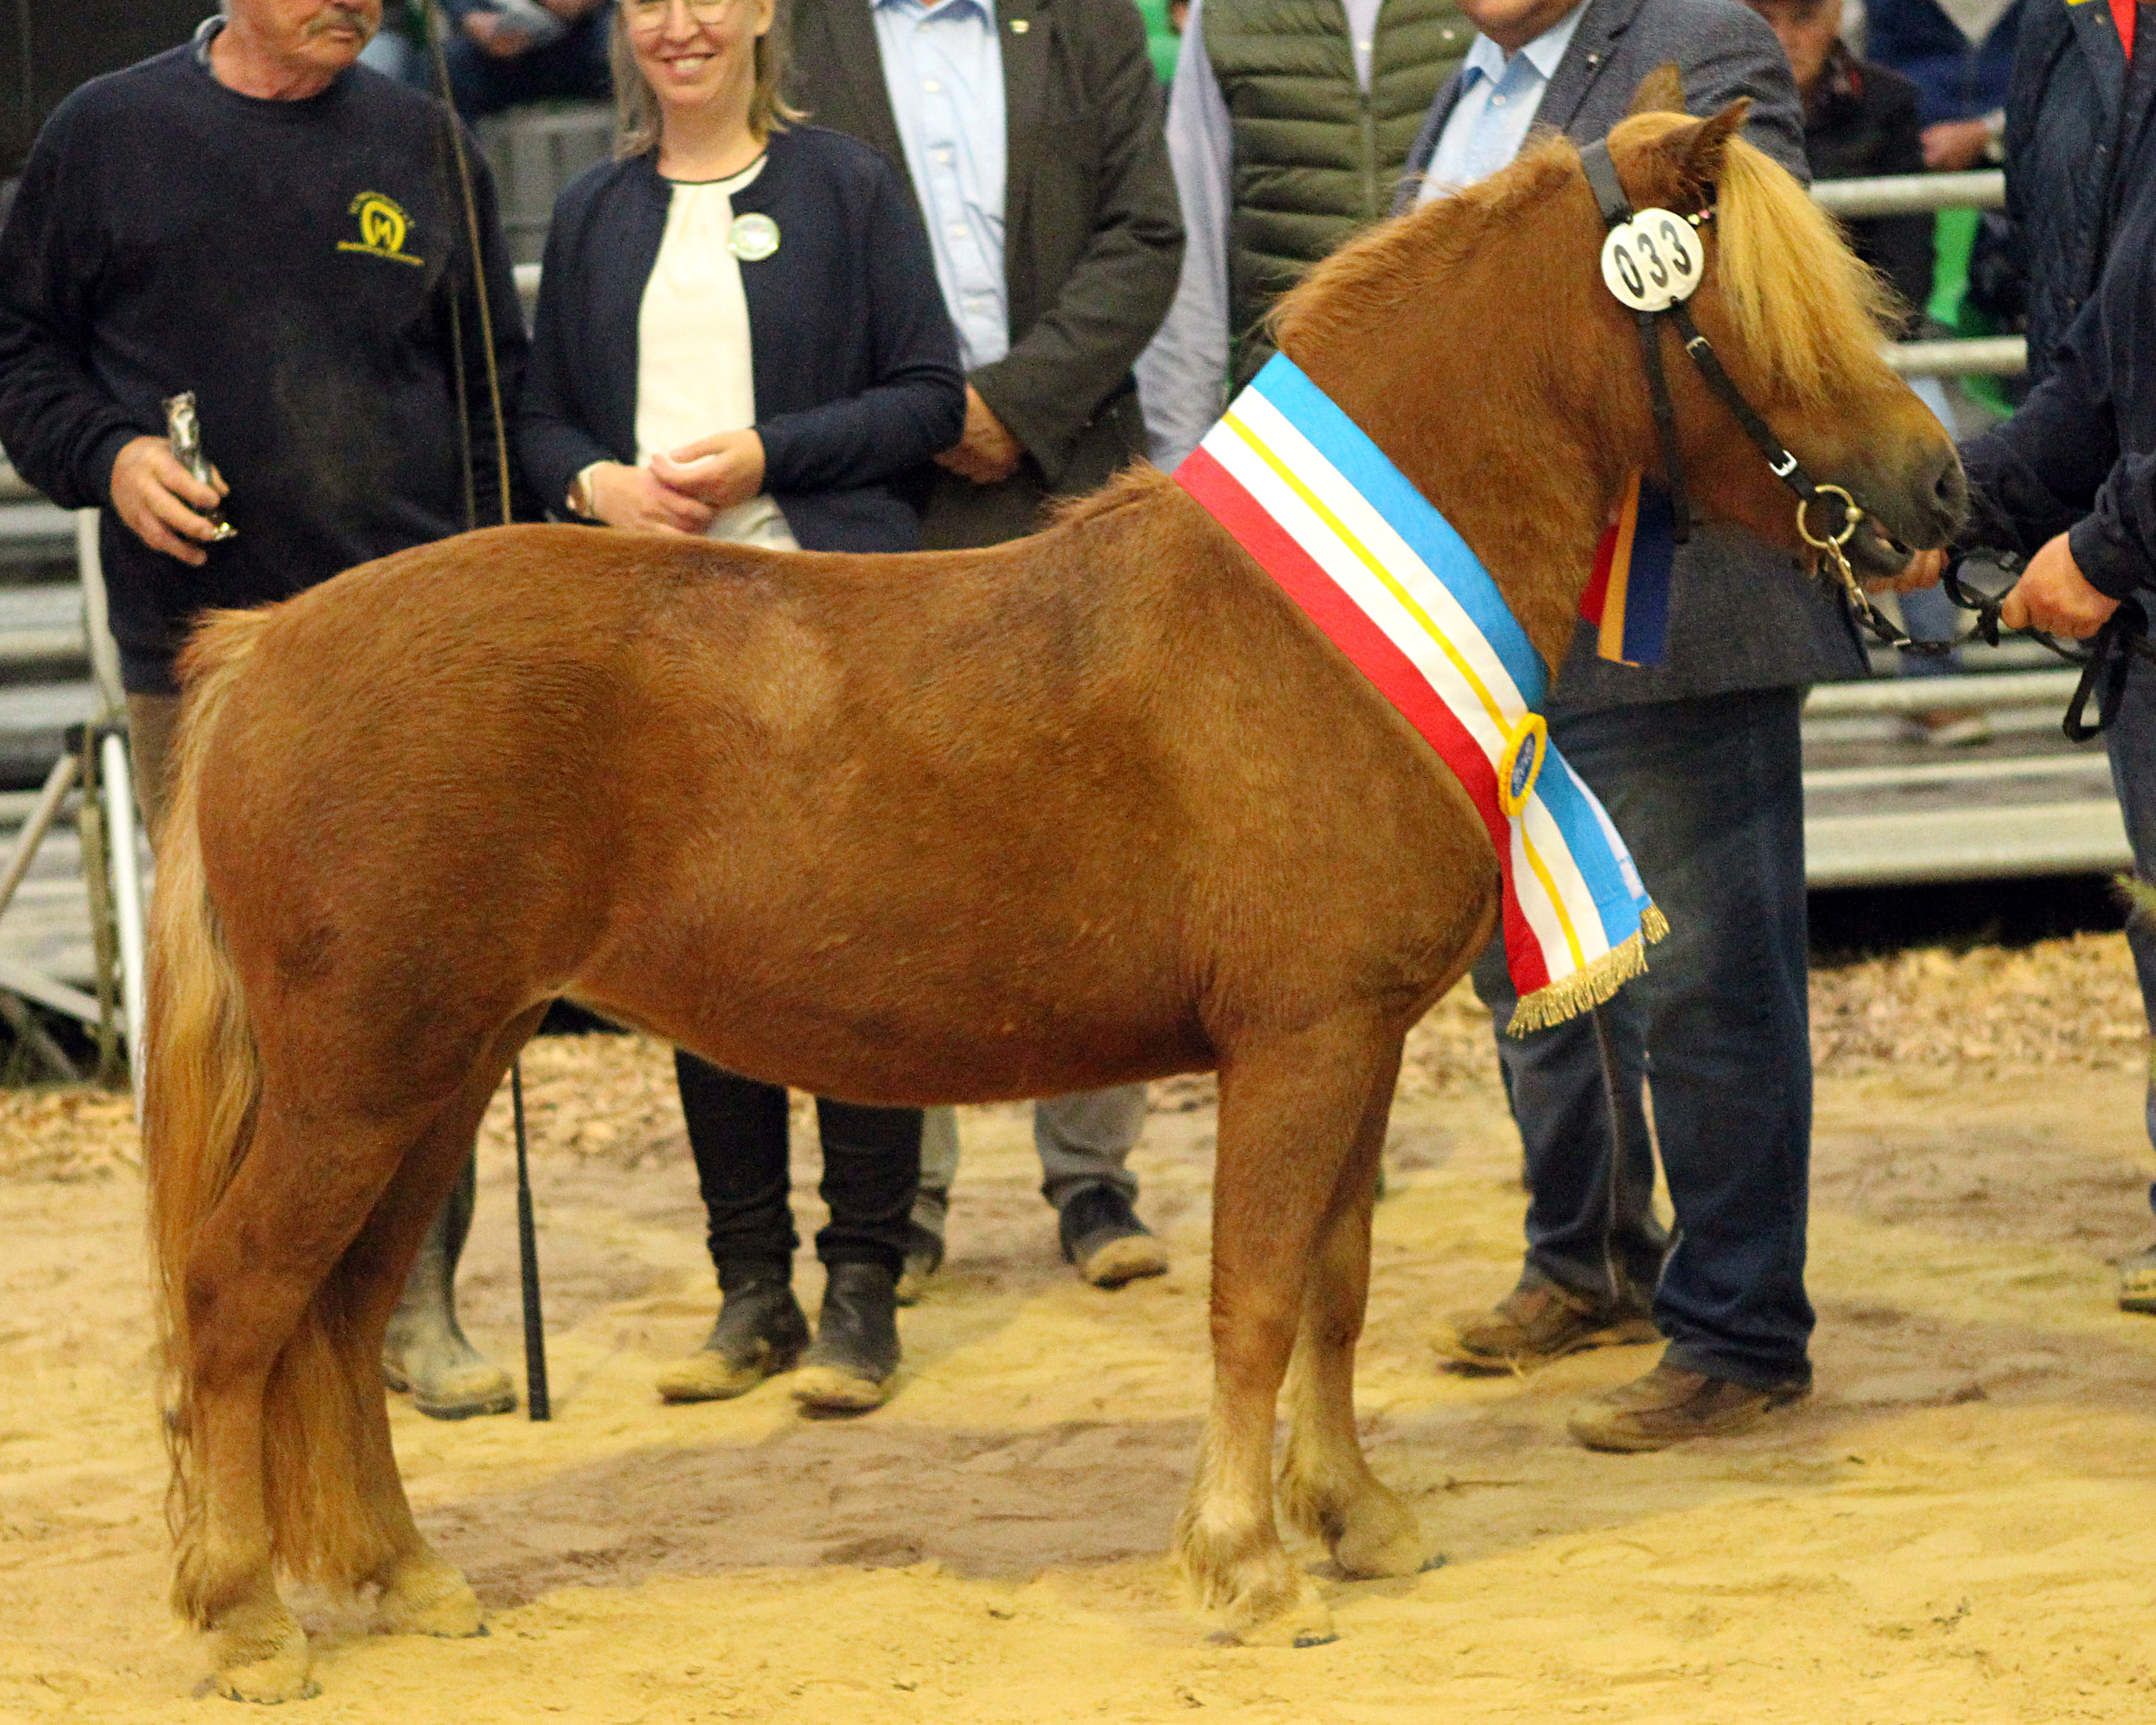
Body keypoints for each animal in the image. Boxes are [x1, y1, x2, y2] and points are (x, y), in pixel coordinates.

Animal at [143, 97, 1966, 1699]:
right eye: (1760, 309)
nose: (1944, 492)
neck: (1312, 625)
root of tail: (266, 649)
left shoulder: (1362, 1044)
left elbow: (1336, 1287)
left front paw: (1356, 1520)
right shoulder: (1299, 1043)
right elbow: (1254, 1294)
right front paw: (1250, 1570)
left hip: (441, 1075)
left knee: (339, 1316)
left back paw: (403, 1578)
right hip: (362, 1082)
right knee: (239, 1306)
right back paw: (244, 1622)